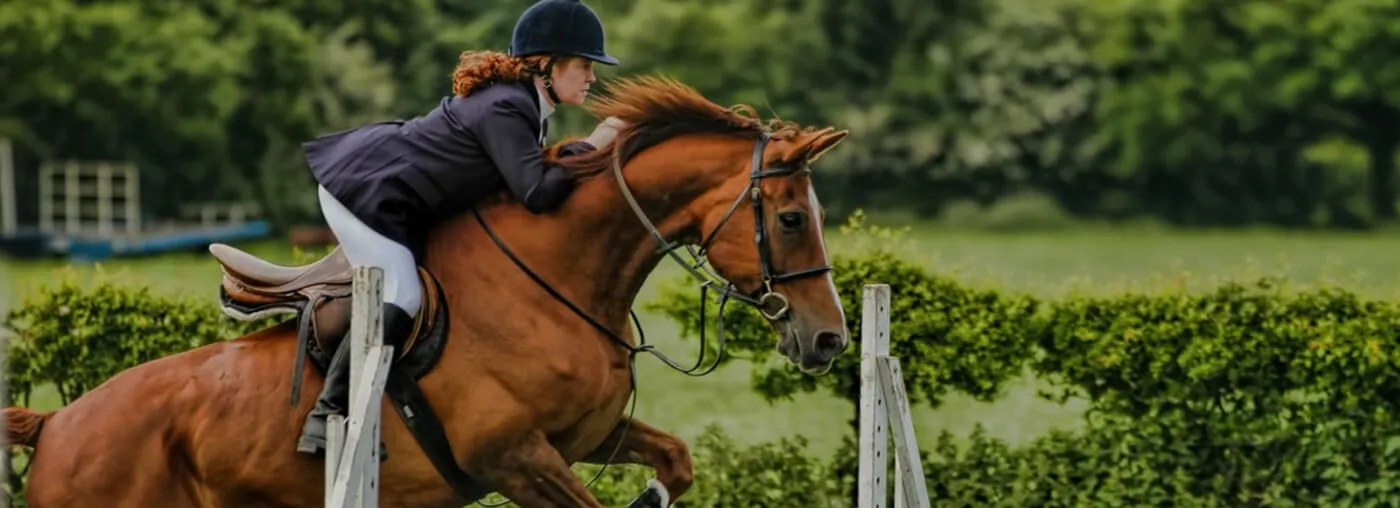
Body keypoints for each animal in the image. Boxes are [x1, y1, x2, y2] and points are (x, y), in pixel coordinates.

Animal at [2, 75, 852, 507]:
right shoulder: (514, 458)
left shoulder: (583, 437)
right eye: (789, 218)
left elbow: (674, 462)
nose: (830, 339)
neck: (556, 284)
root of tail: (58, 423)